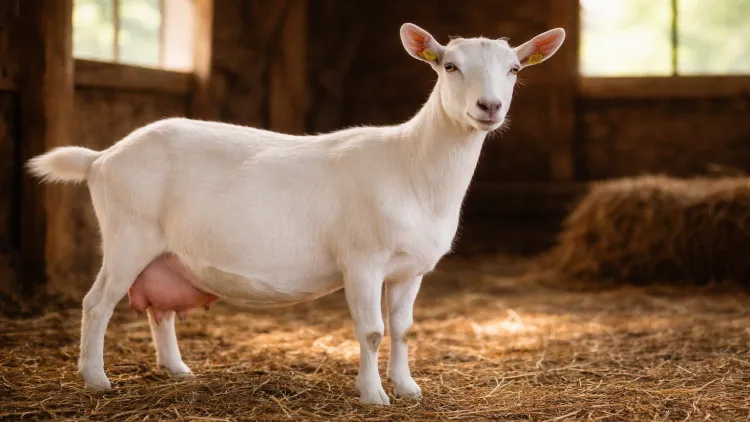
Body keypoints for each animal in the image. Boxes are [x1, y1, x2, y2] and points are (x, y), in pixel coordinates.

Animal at [27, 23, 565, 405]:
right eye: (449, 65)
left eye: (515, 69)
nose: (489, 106)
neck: (413, 165)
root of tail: (101, 158)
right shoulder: (362, 259)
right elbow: (372, 331)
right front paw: (373, 395)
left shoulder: (410, 269)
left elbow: (403, 329)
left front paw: (408, 388)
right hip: (127, 235)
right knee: (96, 303)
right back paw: (96, 379)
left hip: (165, 251)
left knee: (160, 309)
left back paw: (176, 369)